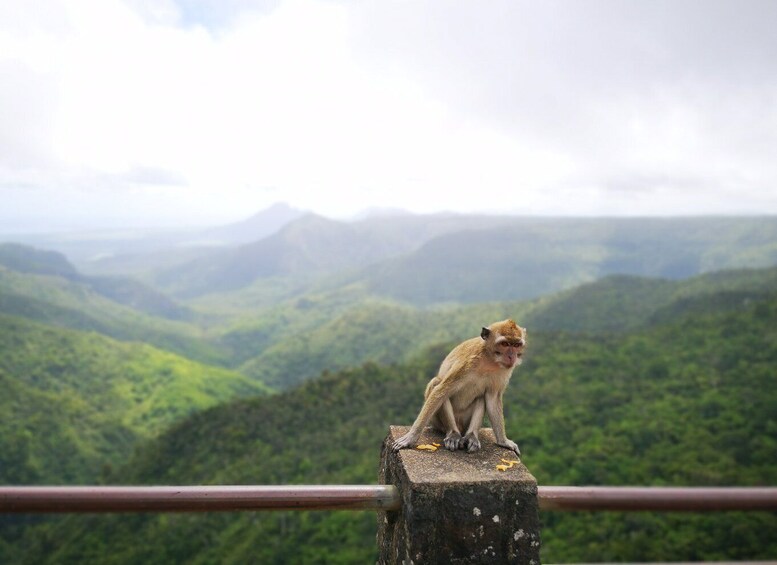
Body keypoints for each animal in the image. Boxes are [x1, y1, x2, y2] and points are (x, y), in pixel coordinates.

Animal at [392, 320, 524, 456]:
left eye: (516, 345)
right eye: (505, 344)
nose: (512, 356)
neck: (489, 360)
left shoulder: (503, 372)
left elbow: (493, 399)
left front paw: (503, 441)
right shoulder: (465, 365)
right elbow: (441, 391)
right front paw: (410, 437)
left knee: (481, 397)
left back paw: (471, 436)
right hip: (437, 422)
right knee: (437, 384)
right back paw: (453, 434)